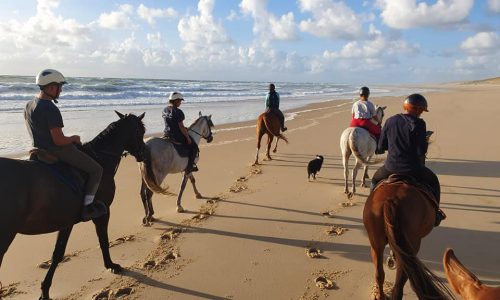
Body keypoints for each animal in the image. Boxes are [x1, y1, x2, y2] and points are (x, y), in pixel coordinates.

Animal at [0, 111, 146, 298]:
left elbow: (58, 253)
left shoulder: (66, 221)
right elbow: (103, 239)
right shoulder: (104, 211)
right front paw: (111, 265)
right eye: (140, 131)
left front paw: (45, 290)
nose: (144, 153)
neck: (100, 158)